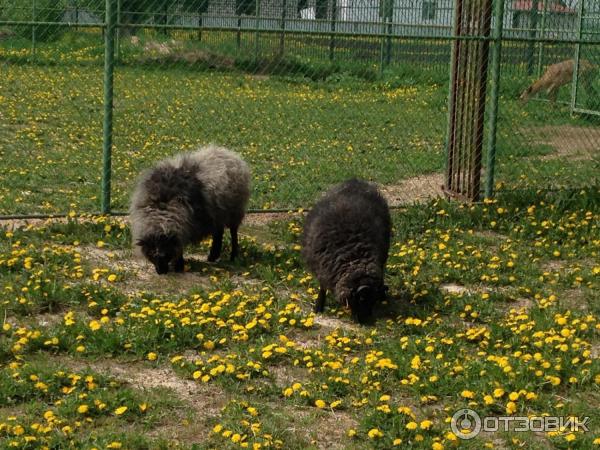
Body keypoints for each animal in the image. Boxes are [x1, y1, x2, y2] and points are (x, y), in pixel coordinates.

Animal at [130, 144, 252, 272]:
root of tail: (230, 154)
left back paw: (233, 256)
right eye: (151, 254)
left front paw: (179, 266)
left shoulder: (184, 224)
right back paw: (213, 256)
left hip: (235, 210)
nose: (161, 272)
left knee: (233, 232)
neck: (162, 208)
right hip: (218, 213)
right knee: (219, 232)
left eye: (166, 253)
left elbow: (179, 246)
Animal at [302, 179, 392, 324]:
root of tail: (355, 181)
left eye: (373, 301)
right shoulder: (322, 268)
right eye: (361, 299)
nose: (365, 321)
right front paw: (318, 307)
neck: (353, 254)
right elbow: (322, 287)